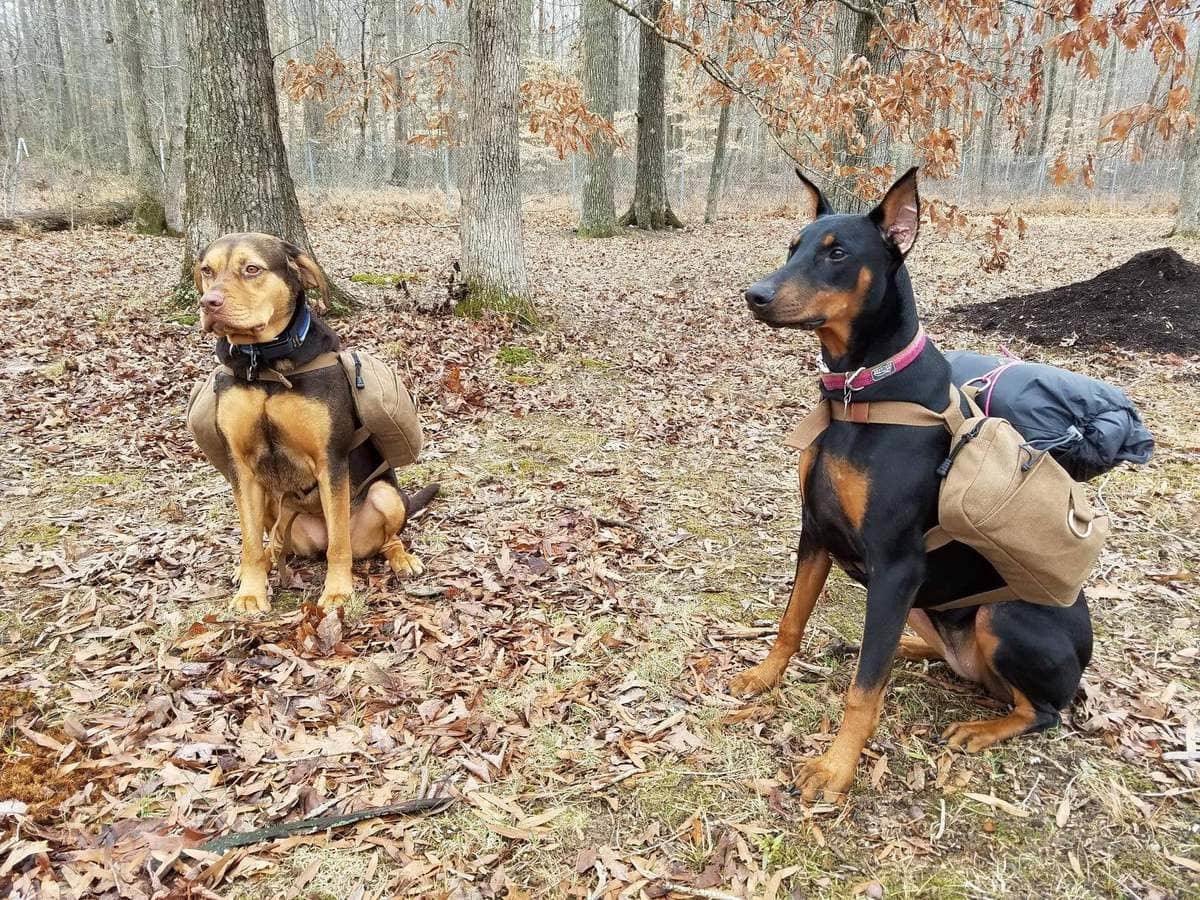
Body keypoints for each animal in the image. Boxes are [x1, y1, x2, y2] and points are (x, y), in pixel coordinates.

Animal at [187, 232, 432, 614]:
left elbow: (339, 544)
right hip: (272, 502)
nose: (208, 302)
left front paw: (338, 591)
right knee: (273, 542)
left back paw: (401, 558)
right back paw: (263, 562)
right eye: (207, 271)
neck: (265, 366)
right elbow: (250, 543)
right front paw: (251, 592)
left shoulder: (330, 460)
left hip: (386, 494)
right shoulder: (241, 467)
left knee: (386, 539)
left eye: (252, 269)